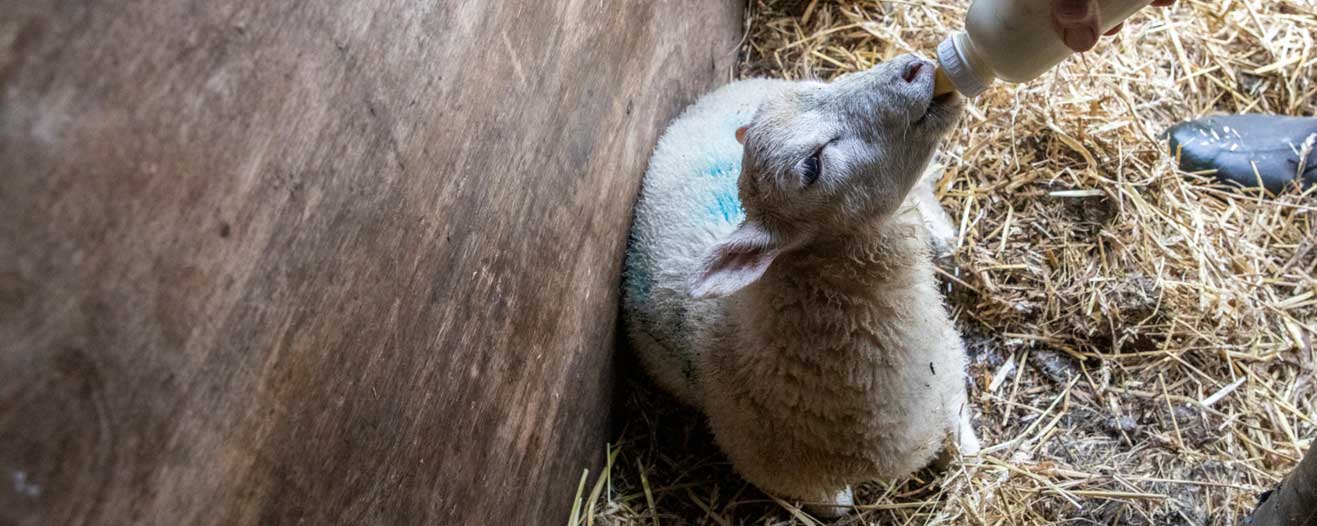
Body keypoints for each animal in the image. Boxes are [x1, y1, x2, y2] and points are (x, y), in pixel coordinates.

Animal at [622, 54, 979, 517]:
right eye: (812, 166)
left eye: (822, 87)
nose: (914, 67)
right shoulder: (795, 481)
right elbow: (841, 507)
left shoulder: (949, 383)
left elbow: (967, 447)